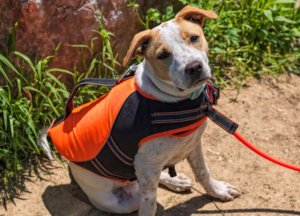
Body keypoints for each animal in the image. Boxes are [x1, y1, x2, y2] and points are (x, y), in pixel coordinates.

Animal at [39, 5, 241, 215]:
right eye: (163, 55)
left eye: (194, 38)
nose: (194, 67)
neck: (176, 99)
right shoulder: (146, 163)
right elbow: (149, 204)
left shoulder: (193, 143)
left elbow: (203, 171)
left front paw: (217, 190)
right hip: (121, 199)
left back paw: (176, 181)